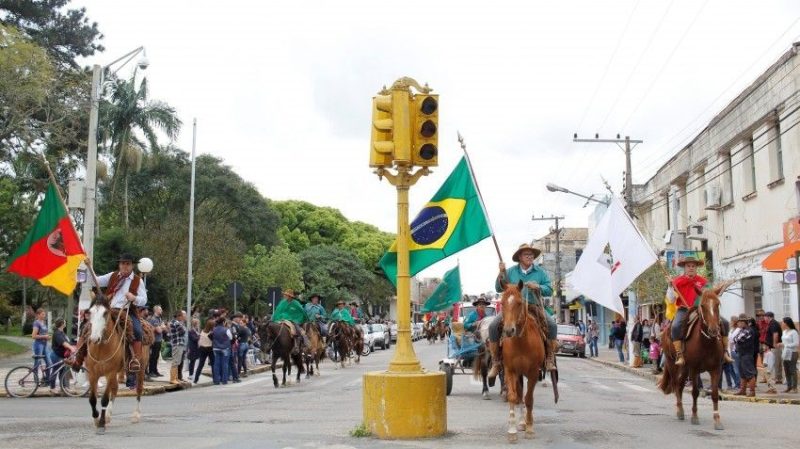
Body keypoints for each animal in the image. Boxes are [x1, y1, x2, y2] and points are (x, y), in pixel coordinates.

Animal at [84, 300, 147, 434]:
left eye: (105, 313)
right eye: (90, 312)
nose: (94, 338)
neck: (101, 348)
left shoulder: (110, 373)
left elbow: (104, 399)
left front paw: (101, 424)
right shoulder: (92, 374)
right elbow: (92, 398)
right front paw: (97, 419)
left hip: (141, 368)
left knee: (139, 389)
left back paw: (136, 415)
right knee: (115, 389)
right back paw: (108, 415)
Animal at [496, 280, 548, 440]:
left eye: (519, 303)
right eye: (502, 302)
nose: (508, 330)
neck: (521, 342)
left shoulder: (533, 373)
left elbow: (529, 398)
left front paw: (530, 427)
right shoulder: (510, 370)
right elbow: (513, 397)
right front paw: (512, 429)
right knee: (519, 395)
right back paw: (520, 422)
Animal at [660, 284, 728, 430]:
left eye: (718, 304)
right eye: (702, 305)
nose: (714, 330)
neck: (707, 343)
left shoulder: (716, 369)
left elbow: (715, 394)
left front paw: (717, 420)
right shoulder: (694, 369)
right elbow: (695, 392)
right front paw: (695, 416)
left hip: (685, 369)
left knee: (680, 385)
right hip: (672, 363)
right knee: (676, 384)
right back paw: (680, 411)